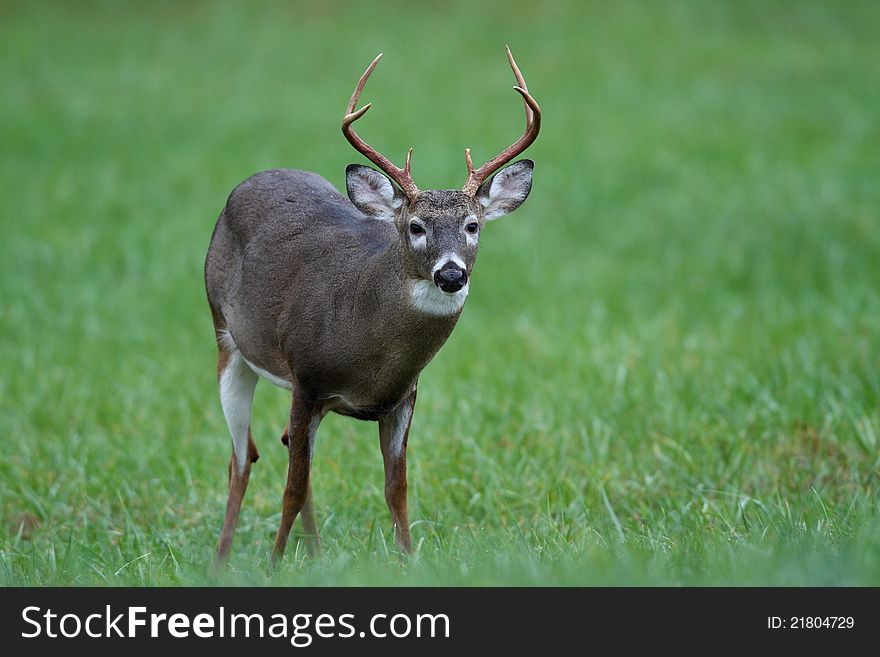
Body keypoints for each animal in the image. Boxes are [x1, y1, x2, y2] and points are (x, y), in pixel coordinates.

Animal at [206, 44, 540, 564]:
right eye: (416, 226)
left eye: (472, 225)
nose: (450, 274)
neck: (370, 353)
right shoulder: (307, 378)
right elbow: (291, 488)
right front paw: (275, 564)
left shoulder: (402, 396)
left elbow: (395, 489)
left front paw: (407, 560)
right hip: (226, 336)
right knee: (242, 458)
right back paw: (223, 561)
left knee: (280, 445)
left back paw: (315, 556)